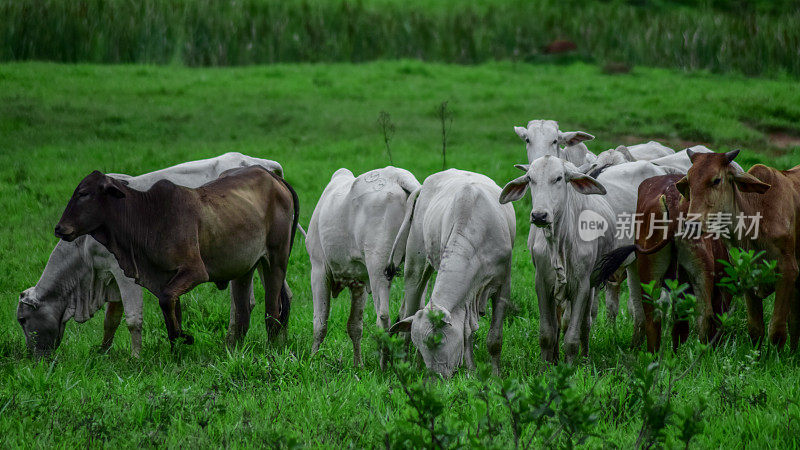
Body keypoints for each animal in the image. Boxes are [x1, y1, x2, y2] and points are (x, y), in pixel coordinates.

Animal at [16, 153, 288, 356]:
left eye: (23, 320)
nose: (32, 357)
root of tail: (263, 165)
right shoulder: (113, 277)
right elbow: (111, 319)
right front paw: (104, 351)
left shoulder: (125, 274)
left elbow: (133, 319)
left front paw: (136, 357)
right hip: (260, 260)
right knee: (283, 296)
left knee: (247, 304)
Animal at [304, 166, 418, 370]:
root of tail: (399, 178)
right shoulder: (359, 281)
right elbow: (355, 326)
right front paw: (358, 365)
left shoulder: (318, 269)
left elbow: (320, 322)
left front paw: (312, 360)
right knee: (413, 312)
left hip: (378, 265)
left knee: (383, 317)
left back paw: (383, 366)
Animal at [390, 171, 516, 378]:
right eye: (421, 347)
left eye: (438, 341)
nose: (435, 378)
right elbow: (467, 335)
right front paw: (471, 369)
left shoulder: (503, 284)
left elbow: (494, 339)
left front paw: (494, 375)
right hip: (415, 266)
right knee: (408, 310)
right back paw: (406, 362)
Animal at [676, 149, 800, 350]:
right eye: (689, 181)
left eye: (717, 180)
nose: (692, 224)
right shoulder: (746, 275)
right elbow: (756, 328)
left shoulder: (788, 272)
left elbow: (776, 330)